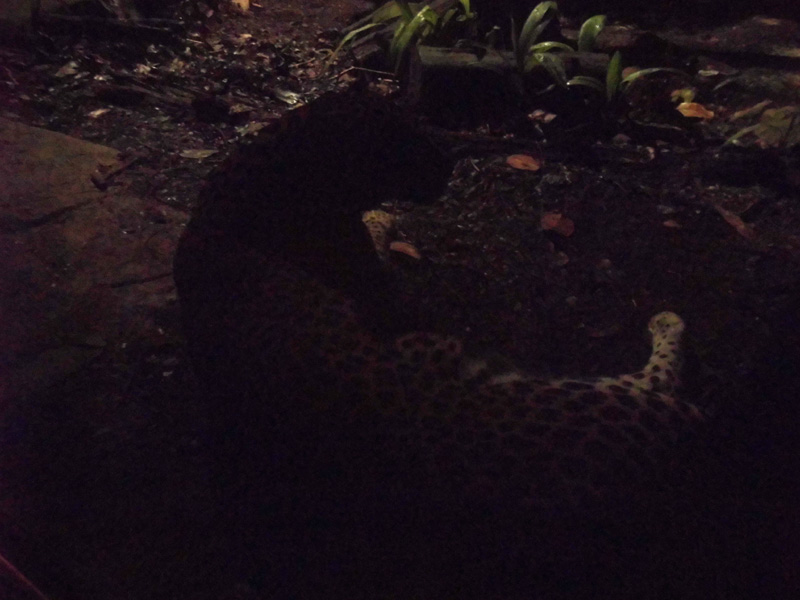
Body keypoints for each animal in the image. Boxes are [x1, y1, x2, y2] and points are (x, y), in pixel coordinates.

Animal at [174, 91, 706, 546]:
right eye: (404, 140)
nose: (449, 164)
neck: (268, 169)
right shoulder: (375, 281)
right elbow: (378, 236)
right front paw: (384, 220)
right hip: (603, 395)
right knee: (661, 377)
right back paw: (667, 320)